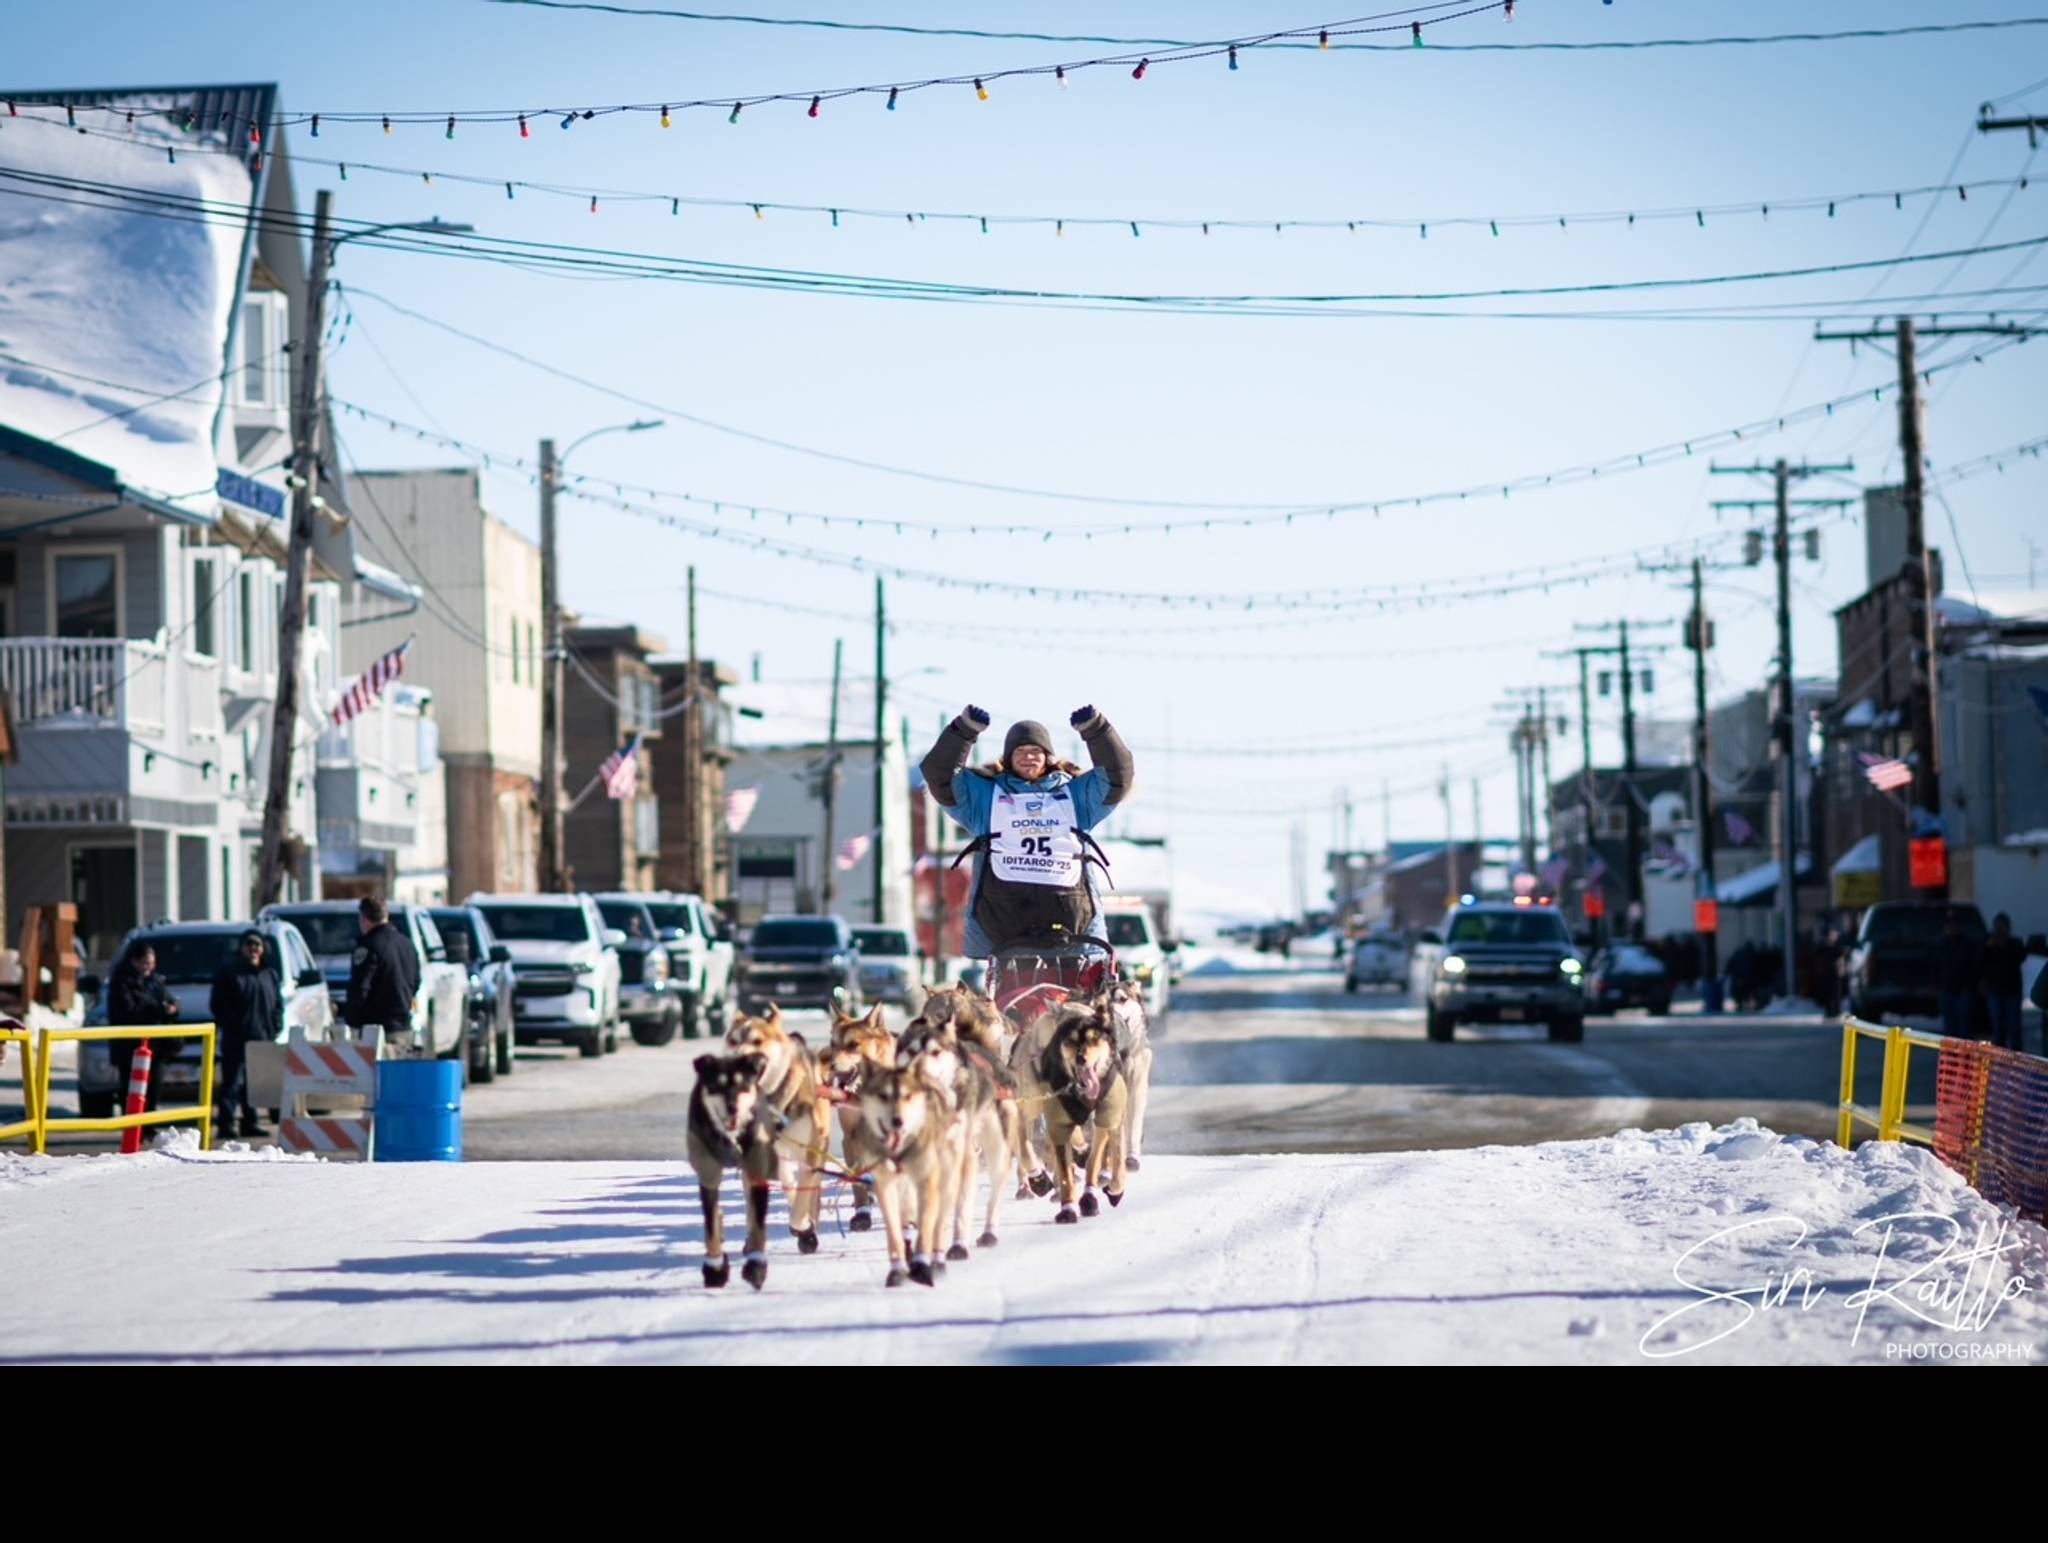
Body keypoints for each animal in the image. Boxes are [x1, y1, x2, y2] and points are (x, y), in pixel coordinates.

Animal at [685, 1052, 778, 1289]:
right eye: (717, 1086)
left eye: (743, 1085)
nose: (732, 1107)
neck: (731, 1138)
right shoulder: (708, 1175)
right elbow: (710, 1226)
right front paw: (715, 1269)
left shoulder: (756, 1173)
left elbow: (758, 1226)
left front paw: (755, 1266)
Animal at [724, 1004, 830, 1254]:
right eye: (732, 1041)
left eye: (757, 1041)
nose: (736, 1058)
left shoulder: (811, 1150)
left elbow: (802, 1199)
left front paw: (804, 1229)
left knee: (810, 1191)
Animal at [819, 1004, 897, 1232]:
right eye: (833, 1043)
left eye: (853, 1045)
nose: (829, 1063)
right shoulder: (851, 1137)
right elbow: (857, 1181)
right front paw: (862, 1214)